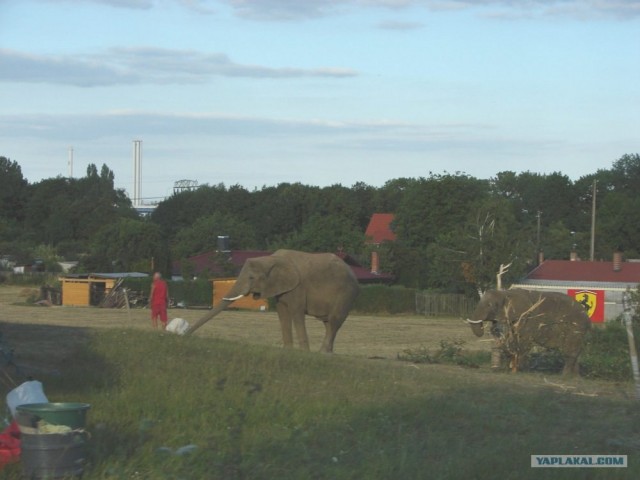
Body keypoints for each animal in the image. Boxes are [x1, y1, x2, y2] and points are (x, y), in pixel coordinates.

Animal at [188, 251, 362, 352]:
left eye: (251, 277)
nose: (184, 334)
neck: (270, 259)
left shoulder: (299, 286)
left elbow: (296, 312)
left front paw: (304, 353)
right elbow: (282, 312)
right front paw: (288, 350)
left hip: (346, 294)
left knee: (334, 321)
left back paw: (322, 353)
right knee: (329, 323)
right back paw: (327, 354)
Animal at [464, 288, 592, 376]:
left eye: (491, 305)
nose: (484, 329)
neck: (506, 293)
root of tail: (587, 317)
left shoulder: (527, 318)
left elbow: (523, 340)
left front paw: (518, 370)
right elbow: (505, 338)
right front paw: (506, 369)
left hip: (576, 328)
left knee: (570, 350)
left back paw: (564, 376)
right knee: (574, 352)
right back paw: (575, 377)